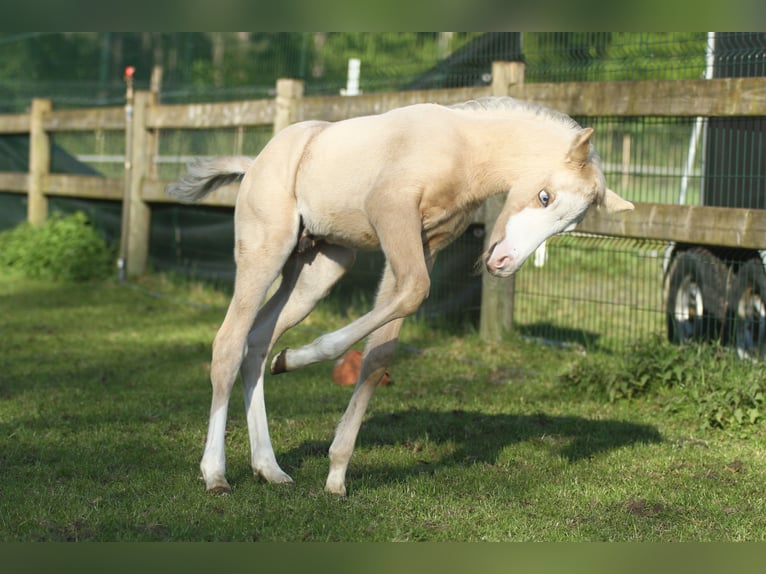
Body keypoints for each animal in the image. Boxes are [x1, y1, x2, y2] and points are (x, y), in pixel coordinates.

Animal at [168, 97, 636, 498]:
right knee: (229, 343)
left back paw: (269, 467)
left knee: (258, 343)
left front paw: (336, 474)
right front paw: (308, 356)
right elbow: (415, 292)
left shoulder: (422, 245)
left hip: (320, 269)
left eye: (567, 225)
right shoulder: (391, 213)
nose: (503, 263)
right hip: (266, 251)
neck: (464, 149)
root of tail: (254, 164)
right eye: (544, 195)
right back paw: (215, 473)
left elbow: (380, 354)